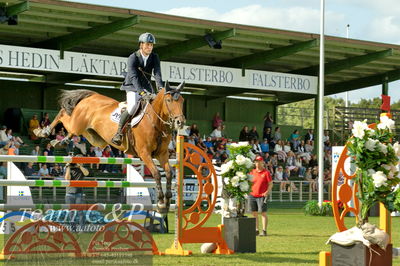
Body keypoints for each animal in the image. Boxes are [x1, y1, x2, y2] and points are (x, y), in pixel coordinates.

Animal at [35, 82, 185, 211]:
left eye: (182, 100)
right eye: (169, 100)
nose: (180, 122)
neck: (154, 122)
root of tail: (92, 95)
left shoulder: (162, 154)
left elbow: (169, 173)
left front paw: (167, 202)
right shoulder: (144, 154)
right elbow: (156, 174)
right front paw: (160, 203)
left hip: (93, 137)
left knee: (71, 130)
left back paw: (62, 141)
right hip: (78, 124)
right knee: (63, 116)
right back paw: (45, 132)